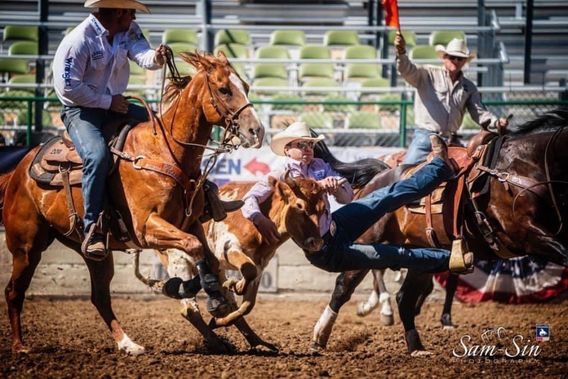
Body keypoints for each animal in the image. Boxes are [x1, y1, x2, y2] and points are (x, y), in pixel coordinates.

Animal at [0, 52, 266, 354]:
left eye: (245, 85)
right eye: (223, 89)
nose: (257, 131)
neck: (166, 152)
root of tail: (18, 171)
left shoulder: (191, 223)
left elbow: (208, 256)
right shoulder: (146, 228)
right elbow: (194, 249)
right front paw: (192, 291)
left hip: (93, 252)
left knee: (100, 297)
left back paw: (128, 343)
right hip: (26, 246)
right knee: (14, 291)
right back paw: (20, 345)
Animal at [133, 175, 326, 354]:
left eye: (323, 209)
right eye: (300, 206)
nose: (317, 243)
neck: (258, 221)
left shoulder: (261, 265)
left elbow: (248, 304)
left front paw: (231, 295)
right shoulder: (228, 248)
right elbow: (247, 271)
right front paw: (237, 285)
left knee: (226, 301)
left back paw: (256, 341)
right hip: (178, 261)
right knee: (189, 309)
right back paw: (217, 343)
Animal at [310, 109, 568, 356]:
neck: (524, 166)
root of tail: (379, 177)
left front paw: (445, 320)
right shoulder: (529, 235)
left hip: (417, 257)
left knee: (404, 298)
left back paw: (416, 346)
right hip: (367, 243)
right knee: (344, 287)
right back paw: (322, 335)